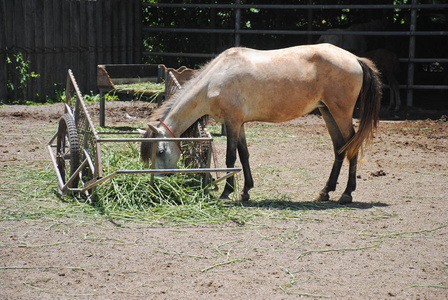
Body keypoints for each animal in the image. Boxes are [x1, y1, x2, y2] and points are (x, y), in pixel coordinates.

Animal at [140, 43, 382, 205]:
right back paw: (326, 191)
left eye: (160, 151)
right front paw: (246, 191)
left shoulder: (233, 122)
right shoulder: (239, 123)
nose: (158, 183)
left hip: (340, 113)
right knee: (339, 147)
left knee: (351, 147)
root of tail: (354, 59)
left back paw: (347, 194)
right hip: (327, 112)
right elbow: (244, 155)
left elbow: (231, 157)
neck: (214, 79)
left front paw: (226, 192)